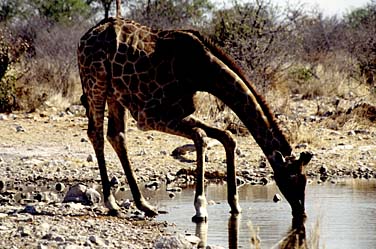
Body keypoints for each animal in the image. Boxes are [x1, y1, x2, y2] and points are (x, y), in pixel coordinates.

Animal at [76, 4, 312, 222]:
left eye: (305, 179)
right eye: (293, 178)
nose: (301, 212)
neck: (202, 71)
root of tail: (84, 38)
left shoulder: (181, 111)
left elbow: (226, 137)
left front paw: (235, 205)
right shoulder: (150, 116)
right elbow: (201, 136)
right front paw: (200, 208)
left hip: (115, 93)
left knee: (116, 136)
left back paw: (144, 205)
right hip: (96, 82)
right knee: (96, 133)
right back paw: (112, 203)